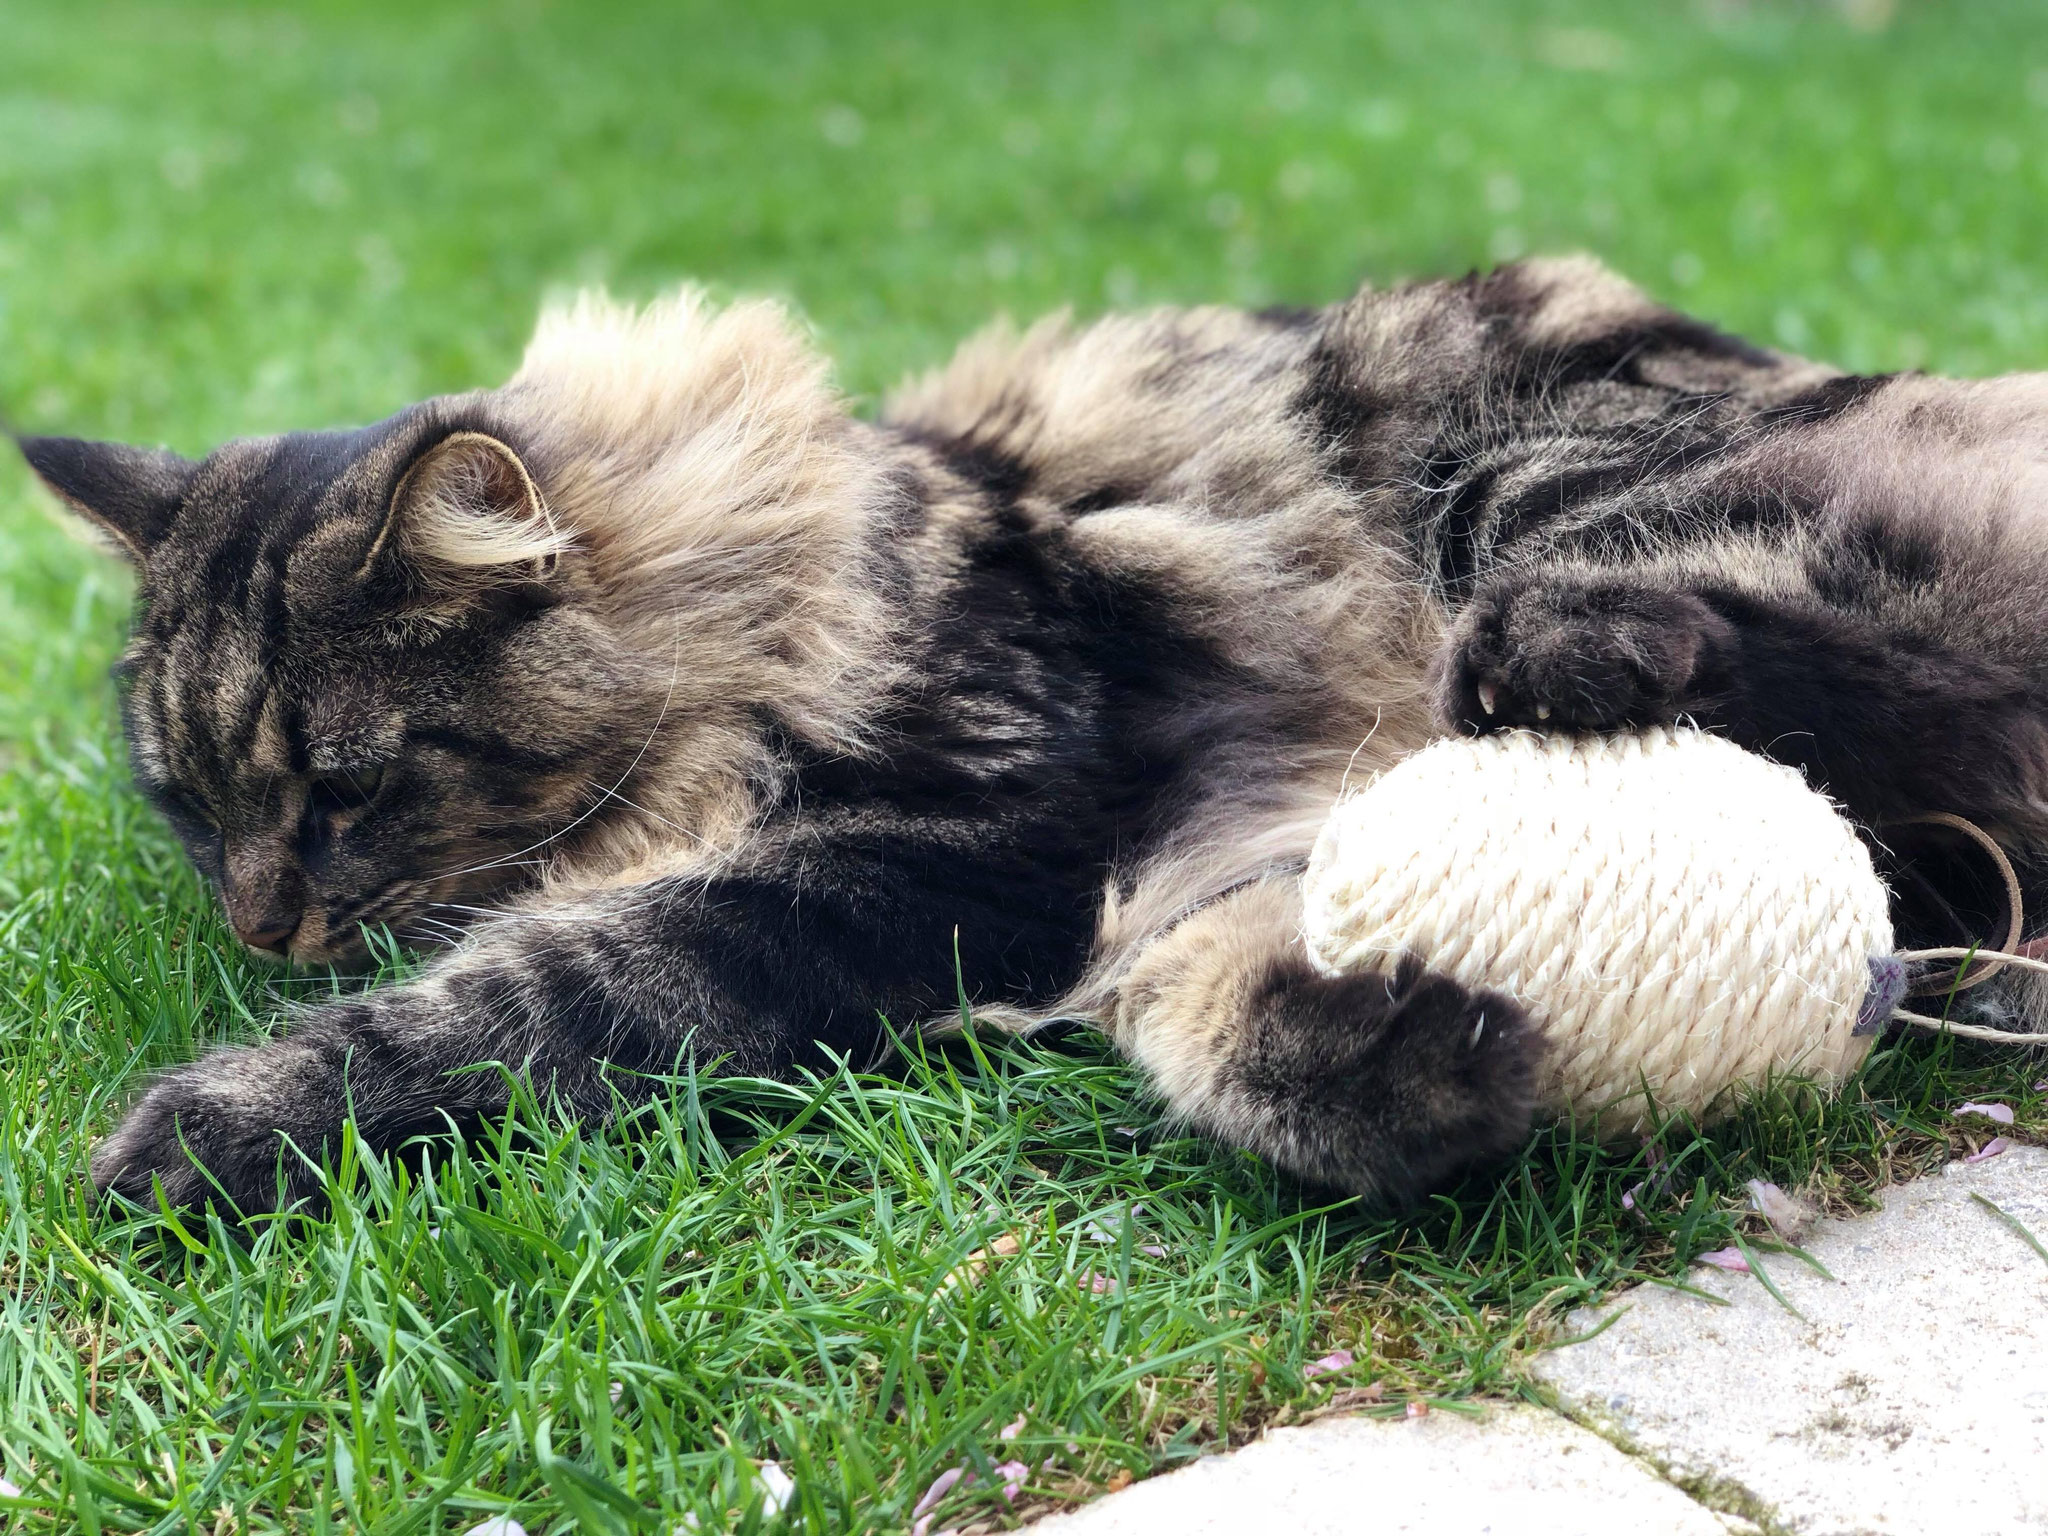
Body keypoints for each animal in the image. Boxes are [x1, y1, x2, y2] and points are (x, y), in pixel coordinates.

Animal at [28, 259, 2048, 1220]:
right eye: (189, 810)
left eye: (343, 788)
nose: (259, 925)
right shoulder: (1171, 865)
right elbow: (1227, 1007)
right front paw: (1417, 1068)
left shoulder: (954, 843)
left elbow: (523, 999)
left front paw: (190, 1138)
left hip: (1539, 488)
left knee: (1884, 684)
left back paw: (1571, 656)